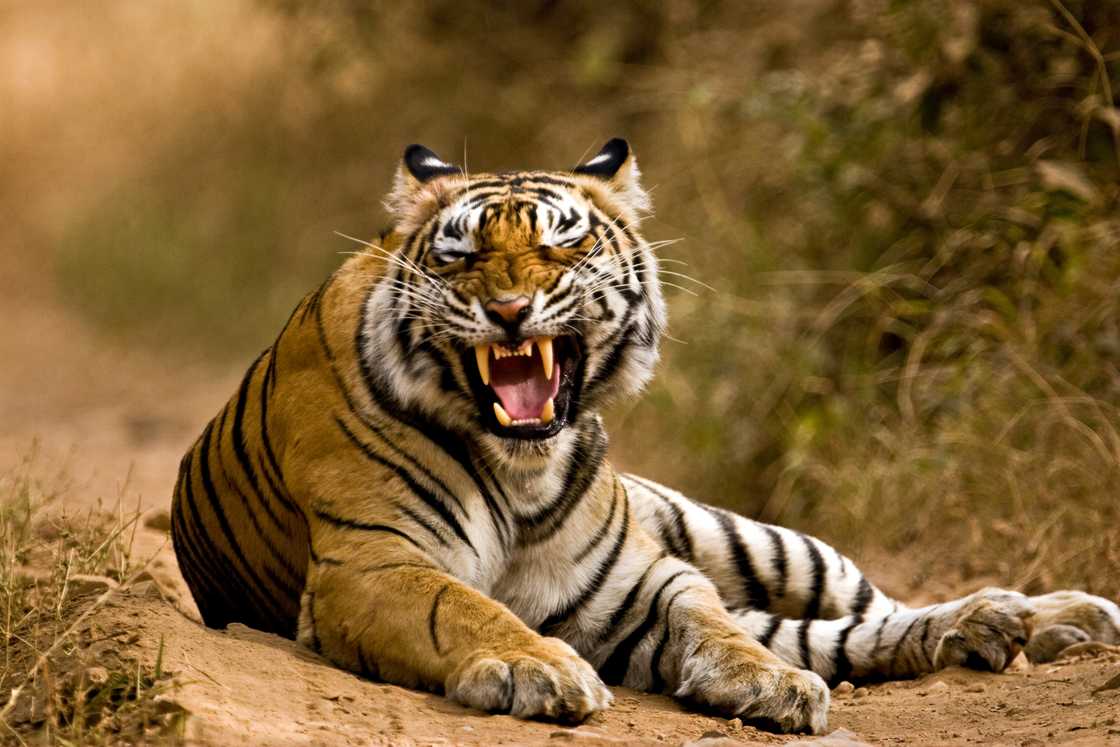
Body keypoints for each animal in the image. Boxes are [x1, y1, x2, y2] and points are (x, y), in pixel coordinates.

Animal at [168, 139, 1120, 734]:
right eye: (460, 256)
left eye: (563, 245)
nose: (508, 308)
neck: (522, 471)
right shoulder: (370, 563)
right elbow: (463, 604)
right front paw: (542, 668)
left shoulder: (638, 579)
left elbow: (713, 622)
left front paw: (769, 683)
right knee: (837, 632)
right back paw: (1007, 629)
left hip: (752, 537)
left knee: (863, 608)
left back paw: (1047, 617)